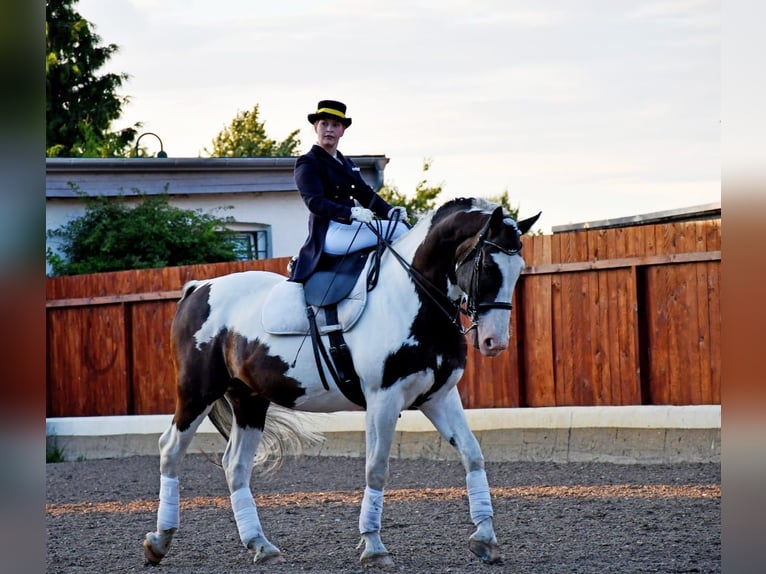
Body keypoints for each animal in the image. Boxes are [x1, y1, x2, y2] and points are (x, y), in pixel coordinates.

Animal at [142, 198, 540, 572]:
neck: (414, 299)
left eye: (518, 269)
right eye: (488, 266)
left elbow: (472, 454)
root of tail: (198, 288)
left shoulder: (439, 397)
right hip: (197, 392)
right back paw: (159, 541)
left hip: (249, 400)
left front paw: (485, 539)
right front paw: (374, 548)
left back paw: (260, 545)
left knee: (235, 465)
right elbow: (376, 468)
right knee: (170, 449)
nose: (494, 342)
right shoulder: (383, 399)